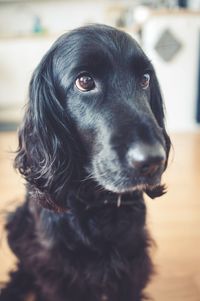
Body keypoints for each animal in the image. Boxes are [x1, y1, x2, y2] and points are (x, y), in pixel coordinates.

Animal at [0, 24, 171, 298]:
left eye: (145, 79)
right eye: (85, 81)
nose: (154, 160)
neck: (95, 202)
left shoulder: (132, 259)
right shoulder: (57, 268)